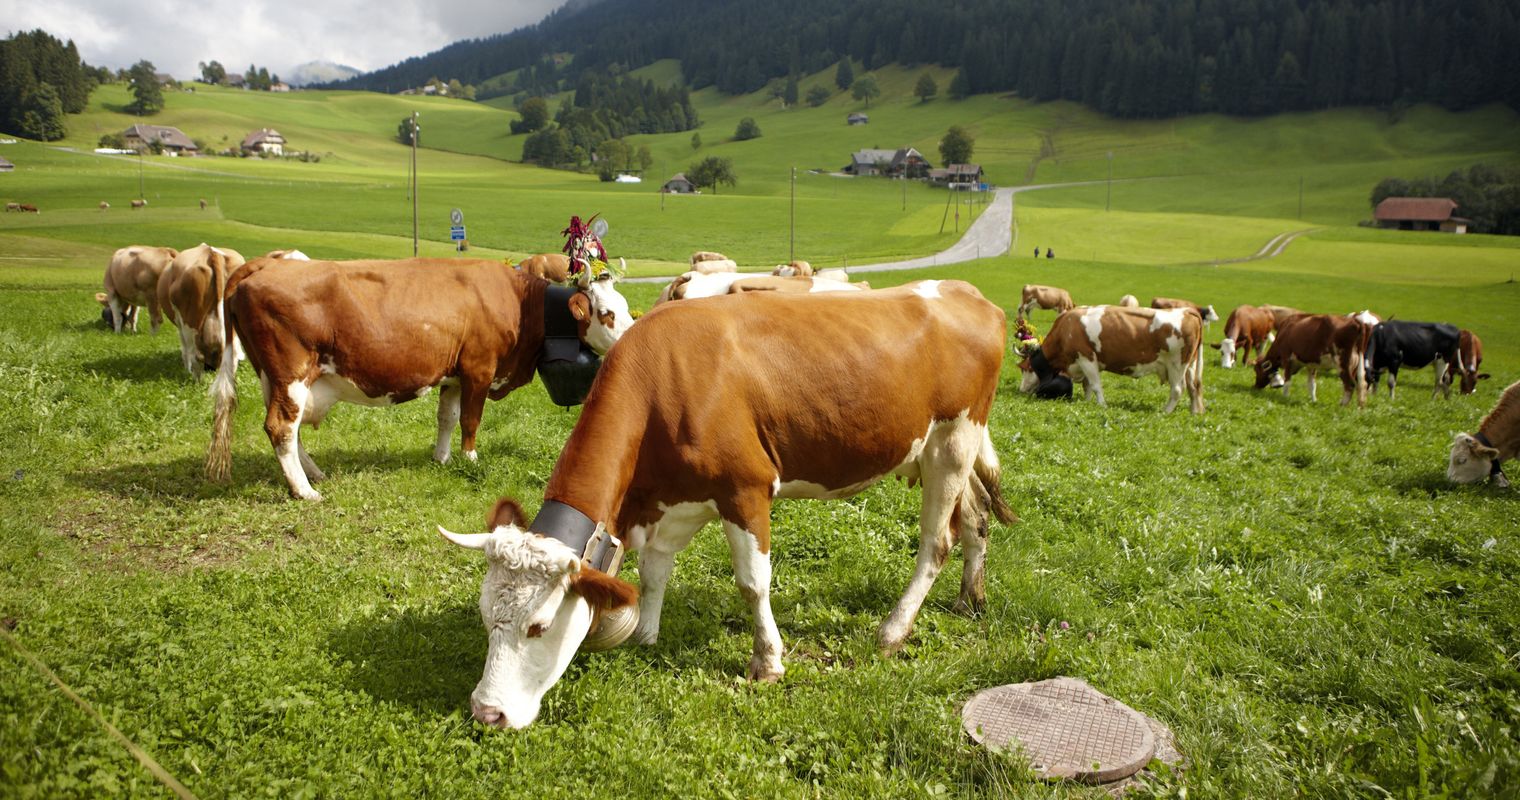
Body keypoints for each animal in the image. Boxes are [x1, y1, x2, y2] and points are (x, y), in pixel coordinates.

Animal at [205, 258, 632, 501]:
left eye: (626, 307)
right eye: (606, 312)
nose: (632, 336)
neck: (520, 304)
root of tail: (261, 266)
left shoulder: (454, 375)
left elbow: (447, 417)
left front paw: (441, 459)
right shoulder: (479, 369)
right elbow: (470, 420)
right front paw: (470, 460)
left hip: (272, 377)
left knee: (287, 430)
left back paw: (313, 474)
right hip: (291, 373)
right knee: (280, 426)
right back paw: (304, 491)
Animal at [437, 279, 1021, 730]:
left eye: (538, 625)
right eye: (486, 615)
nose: (486, 713)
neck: (662, 381)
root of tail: (966, 292)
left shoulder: (746, 489)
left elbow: (753, 583)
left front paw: (768, 662)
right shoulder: (671, 499)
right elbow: (654, 571)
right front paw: (645, 636)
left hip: (952, 441)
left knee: (937, 541)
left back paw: (894, 630)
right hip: (949, 450)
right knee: (976, 520)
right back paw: (970, 598)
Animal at [1015, 307, 1203, 416]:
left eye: (1025, 367)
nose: (1021, 389)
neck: (1066, 328)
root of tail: (1187, 311)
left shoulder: (1086, 358)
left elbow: (1095, 385)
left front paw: (1102, 405)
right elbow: (1087, 385)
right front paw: (1087, 402)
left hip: (1177, 364)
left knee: (1177, 390)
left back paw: (1165, 412)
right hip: (1190, 365)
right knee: (1194, 387)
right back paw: (1195, 412)